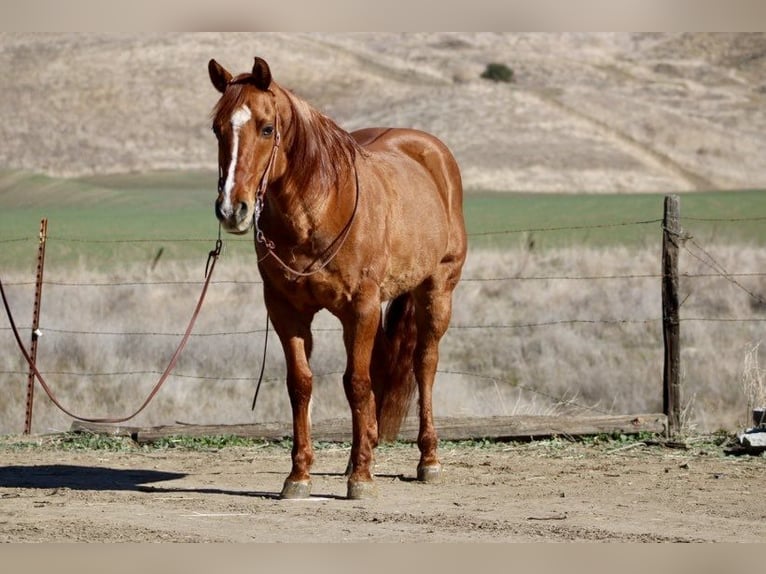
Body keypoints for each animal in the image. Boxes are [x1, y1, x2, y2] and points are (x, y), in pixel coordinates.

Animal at [207, 56, 468, 502]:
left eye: (267, 128)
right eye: (217, 128)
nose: (231, 209)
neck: (318, 211)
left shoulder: (360, 309)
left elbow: (357, 384)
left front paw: (360, 478)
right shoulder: (286, 311)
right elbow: (301, 385)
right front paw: (299, 475)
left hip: (437, 291)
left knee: (424, 365)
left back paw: (428, 459)